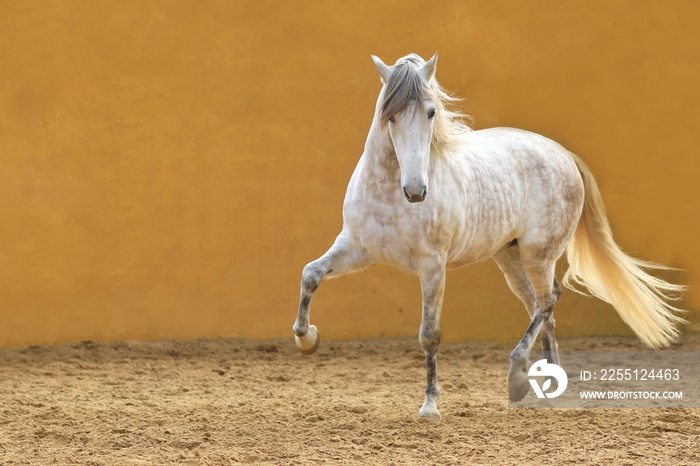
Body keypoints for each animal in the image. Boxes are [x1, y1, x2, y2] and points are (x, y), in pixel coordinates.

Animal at [292, 52, 688, 420]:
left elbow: (429, 333)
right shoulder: (357, 249)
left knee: (547, 301)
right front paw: (308, 339)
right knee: (542, 307)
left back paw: (518, 378)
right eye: (389, 115)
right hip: (509, 258)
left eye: (431, 112)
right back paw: (549, 388)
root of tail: (563, 154)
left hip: (537, 255)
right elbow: (311, 273)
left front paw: (430, 406)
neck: (391, 191)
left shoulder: (432, 265)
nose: (416, 190)